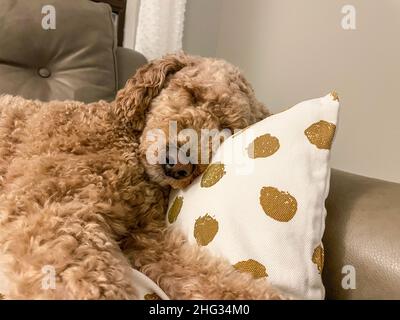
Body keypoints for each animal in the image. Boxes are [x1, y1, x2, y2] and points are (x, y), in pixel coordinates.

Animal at [0, 53, 282, 300]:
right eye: (191, 93)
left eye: (227, 128)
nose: (178, 164)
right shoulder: (55, 206)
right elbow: (78, 275)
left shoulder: (147, 236)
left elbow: (201, 273)